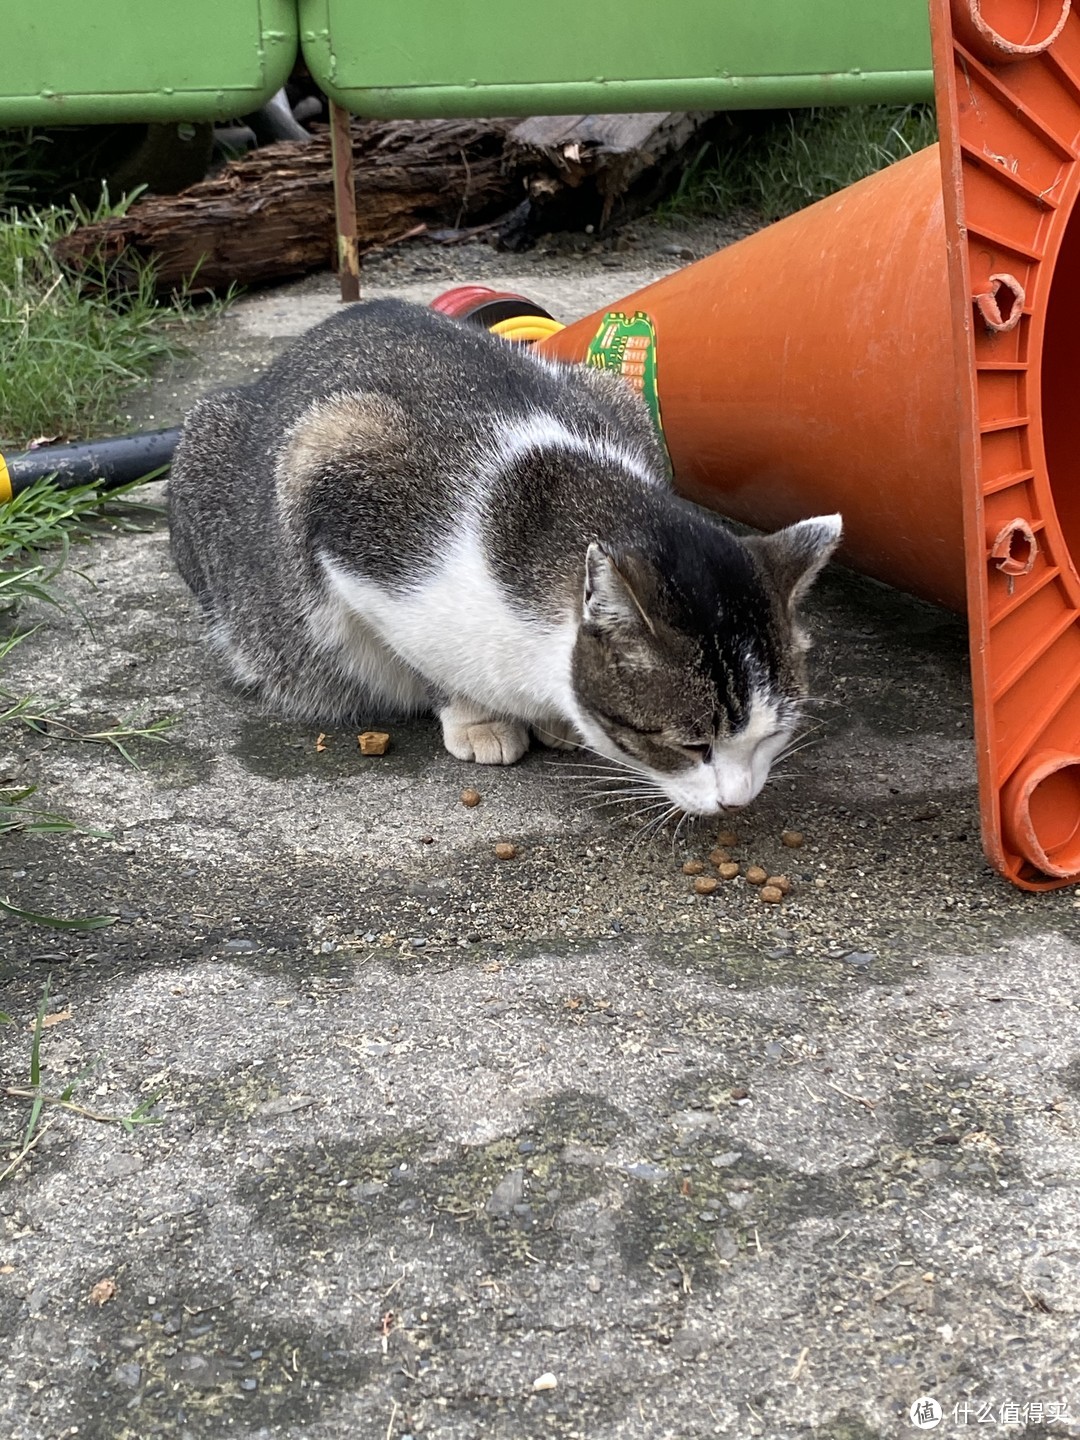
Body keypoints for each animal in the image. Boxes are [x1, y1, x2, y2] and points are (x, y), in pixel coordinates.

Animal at [169, 298, 846, 817]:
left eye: (772, 736)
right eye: (691, 746)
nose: (738, 801)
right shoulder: (343, 491)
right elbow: (426, 659)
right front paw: (477, 718)